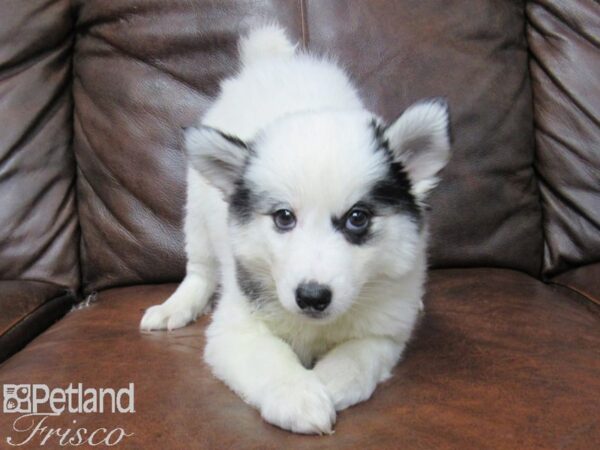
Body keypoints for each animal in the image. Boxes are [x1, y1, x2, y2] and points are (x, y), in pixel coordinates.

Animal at [141, 22, 450, 434]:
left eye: (358, 218)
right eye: (283, 217)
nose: (312, 297)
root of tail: (275, 63)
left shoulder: (385, 332)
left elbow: (357, 355)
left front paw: (329, 380)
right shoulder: (236, 330)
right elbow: (268, 358)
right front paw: (298, 395)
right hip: (197, 215)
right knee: (200, 268)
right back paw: (176, 305)